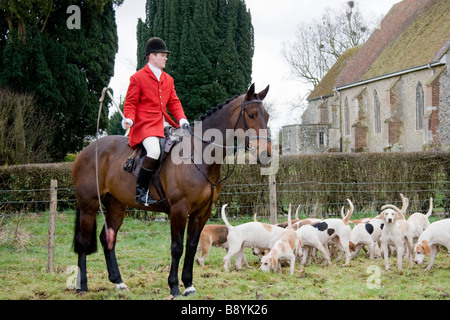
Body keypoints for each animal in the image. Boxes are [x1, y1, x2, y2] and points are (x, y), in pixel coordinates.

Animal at [72, 83, 272, 298]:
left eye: (267, 116)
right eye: (251, 115)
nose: (266, 154)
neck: (198, 154)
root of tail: (87, 149)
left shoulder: (202, 212)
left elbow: (191, 246)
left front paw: (189, 285)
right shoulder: (179, 210)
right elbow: (177, 248)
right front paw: (175, 286)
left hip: (116, 206)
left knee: (108, 238)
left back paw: (118, 281)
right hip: (89, 206)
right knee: (83, 241)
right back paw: (82, 286)